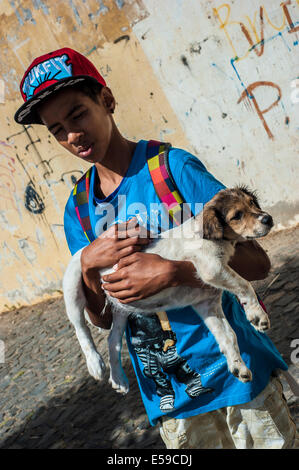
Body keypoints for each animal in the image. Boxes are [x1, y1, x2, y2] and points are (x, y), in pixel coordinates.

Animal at [63, 185, 274, 394]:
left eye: (252, 203)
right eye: (237, 215)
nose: (268, 219)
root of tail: (85, 249)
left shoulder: (207, 303)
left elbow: (228, 336)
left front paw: (238, 367)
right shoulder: (212, 268)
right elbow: (245, 285)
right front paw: (258, 316)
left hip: (121, 309)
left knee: (113, 341)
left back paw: (118, 379)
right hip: (72, 290)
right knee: (80, 328)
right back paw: (95, 364)